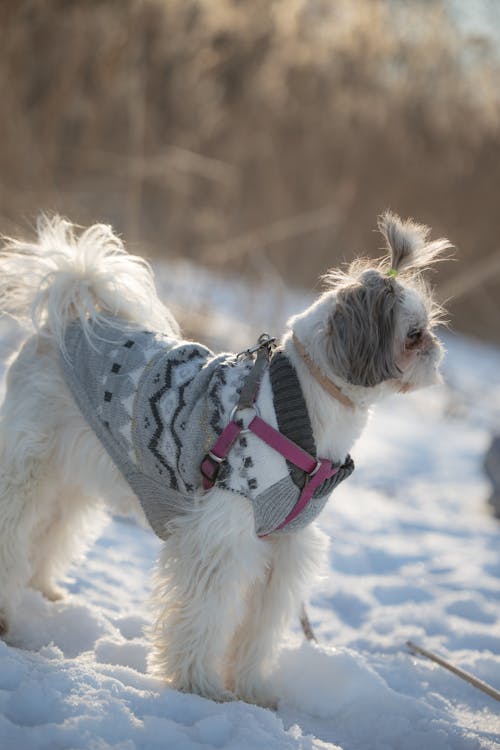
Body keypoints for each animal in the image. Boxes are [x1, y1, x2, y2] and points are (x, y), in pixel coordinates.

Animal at [0, 212, 450, 704]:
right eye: (414, 334)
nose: (436, 349)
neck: (304, 408)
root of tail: (67, 318)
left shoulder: (284, 549)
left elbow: (259, 630)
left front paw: (253, 689)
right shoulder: (222, 535)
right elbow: (205, 616)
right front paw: (199, 685)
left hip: (74, 479)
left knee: (50, 533)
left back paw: (44, 592)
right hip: (28, 467)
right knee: (16, 530)